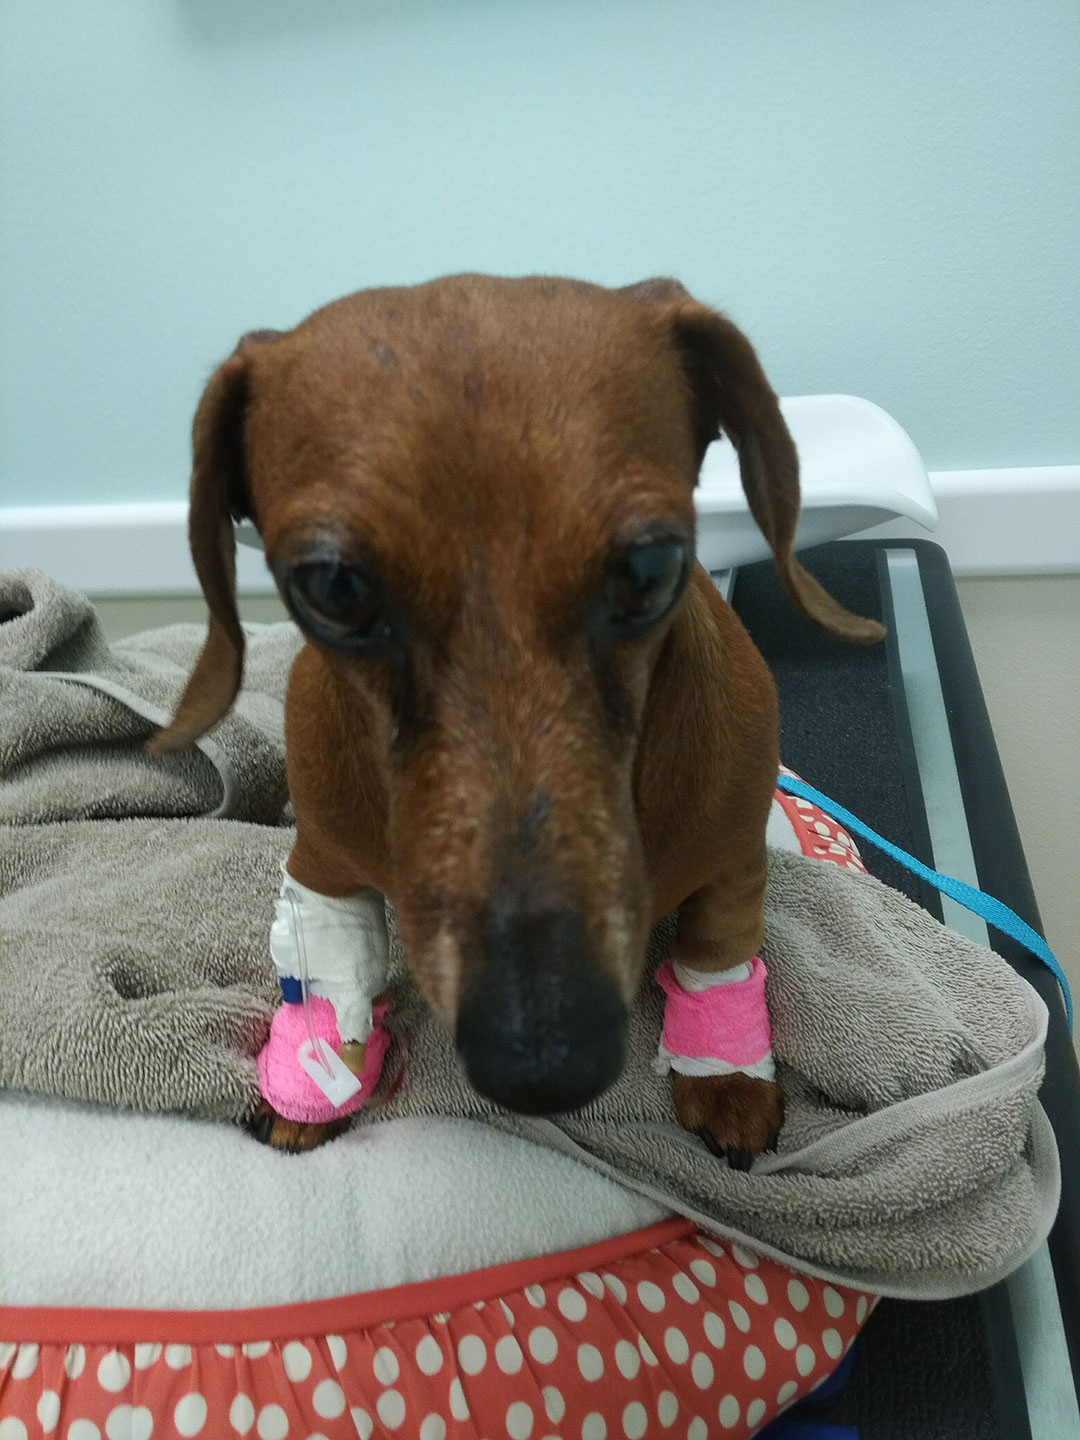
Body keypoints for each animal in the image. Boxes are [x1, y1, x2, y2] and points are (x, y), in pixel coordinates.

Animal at [148, 275, 881, 1163]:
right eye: (333, 587)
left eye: (652, 565)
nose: (544, 1059)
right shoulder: (323, 862)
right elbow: (333, 978)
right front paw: (316, 1083)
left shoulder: (733, 861)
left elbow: (718, 950)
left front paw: (725, 1076)